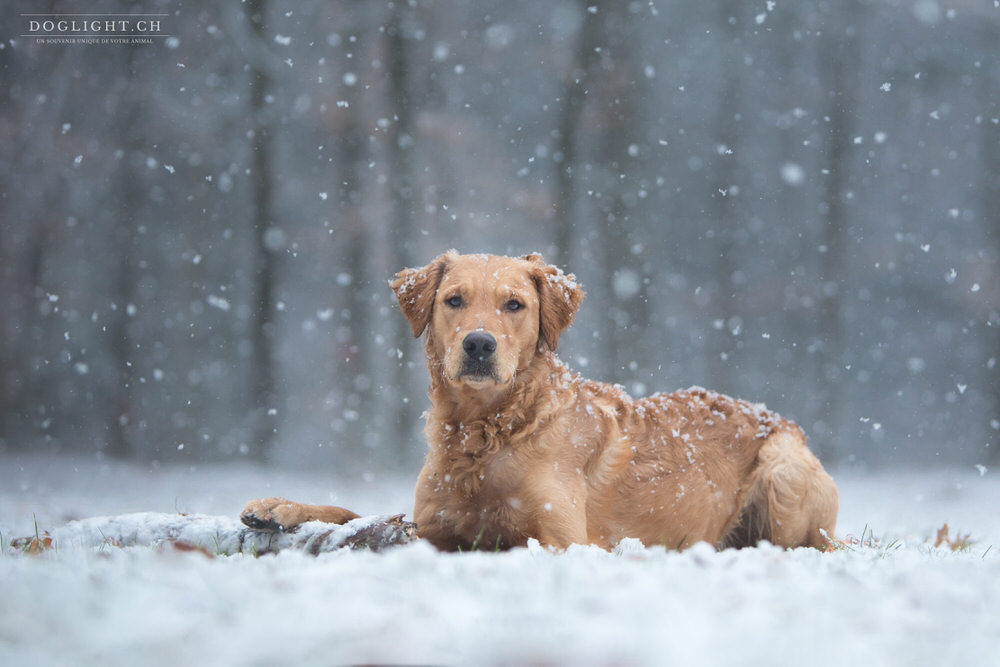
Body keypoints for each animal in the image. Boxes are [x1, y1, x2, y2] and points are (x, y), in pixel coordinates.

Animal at [242, 252, 836, 552]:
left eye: (514, 305)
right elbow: (351, 513)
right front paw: (278, 508)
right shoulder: (431, 522)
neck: (485, 431)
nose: (478, 344)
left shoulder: (564, 538)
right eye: (453, 300)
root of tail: (778, 418)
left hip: (783, 476)